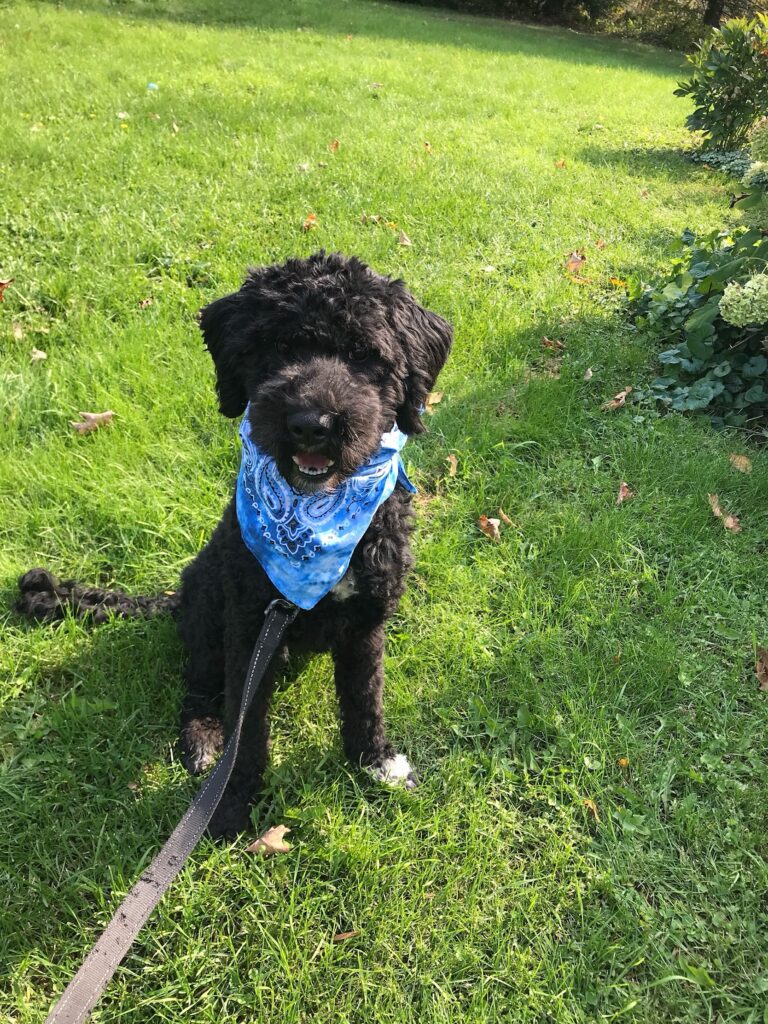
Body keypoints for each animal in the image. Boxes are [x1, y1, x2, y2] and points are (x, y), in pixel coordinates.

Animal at [18, 251, 454, 835]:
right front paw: (230, 804)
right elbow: (246, 731)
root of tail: (174, 601)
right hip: (208, 609)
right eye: (278, 348)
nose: (311, 424)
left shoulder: (367, 621)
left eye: (364, 354)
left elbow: (366, 697)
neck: (322, 522)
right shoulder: (249, 624)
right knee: (200, 686)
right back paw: (204, 736)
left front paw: (375, 762)